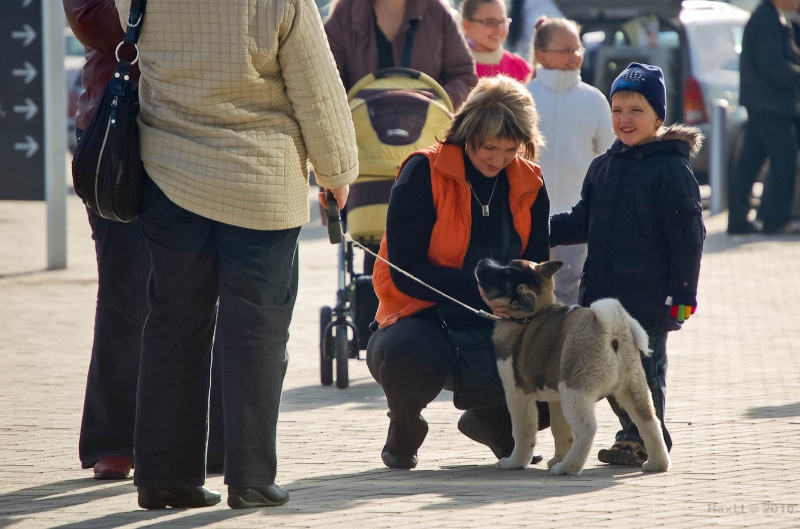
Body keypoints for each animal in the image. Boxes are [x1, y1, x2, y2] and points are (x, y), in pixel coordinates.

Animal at [476, 256, 668, 474]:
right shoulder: (555, 398)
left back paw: (568, 467)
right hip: (633, 387)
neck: (530, 316)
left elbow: (522, 431)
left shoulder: (517, 392)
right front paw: (556, 458)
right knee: (650, 422)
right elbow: (560, 429)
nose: (483, 261)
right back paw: (656, 464)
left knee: (587, 429)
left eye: (504, 276)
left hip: (574, 390)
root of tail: (611, 328)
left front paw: (515, 462)